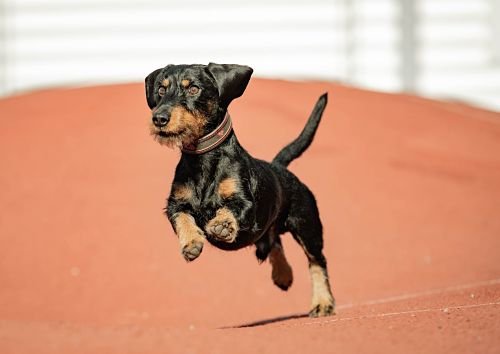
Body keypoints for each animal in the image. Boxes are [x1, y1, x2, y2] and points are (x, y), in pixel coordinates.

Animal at [145, 62, 336, 316]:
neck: (203, 159)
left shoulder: (246, 203)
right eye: (161, 90)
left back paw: (322, 302)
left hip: (307, 226)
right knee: (273, 241)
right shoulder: (175, 204)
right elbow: (183, 219)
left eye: (193, 89)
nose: (159, 118)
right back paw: (283, 274)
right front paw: (191, 243)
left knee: (317, 262)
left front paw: (222, 225)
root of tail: (278, 167)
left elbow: (230, 209)